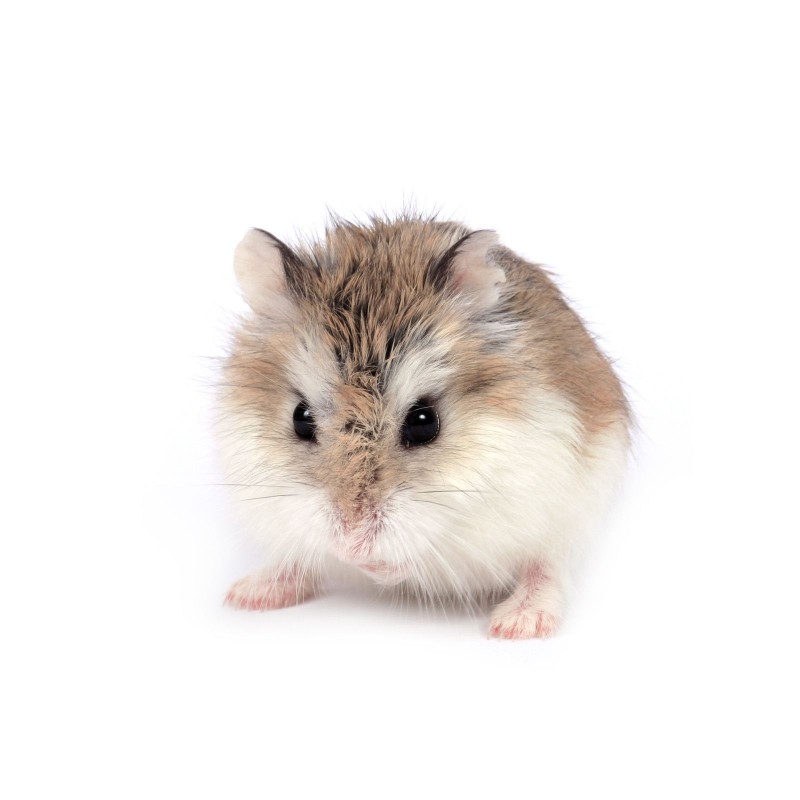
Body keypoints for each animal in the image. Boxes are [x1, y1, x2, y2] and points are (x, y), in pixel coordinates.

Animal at [216, 215, 630, 639]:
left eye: (423, 422)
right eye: (300, 418)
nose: (350, 545)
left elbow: (423, 551)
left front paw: (374, 566)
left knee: (548, 566)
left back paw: (519, 623)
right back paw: (247, 594)